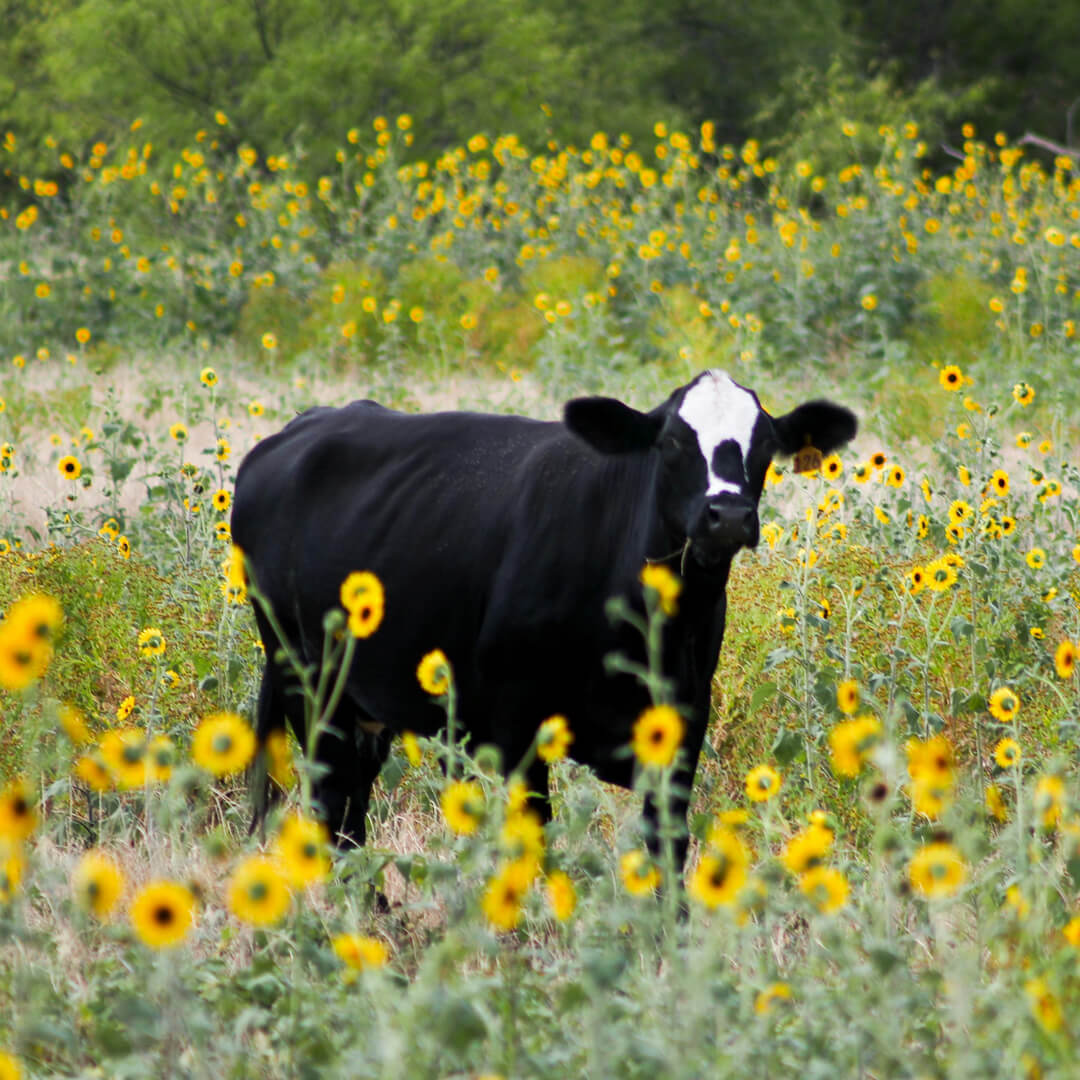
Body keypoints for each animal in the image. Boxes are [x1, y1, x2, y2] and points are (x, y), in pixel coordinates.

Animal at [232, 371, 855, 868]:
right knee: (332, 812)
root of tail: (300, 428)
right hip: (310, 686)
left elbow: (668, 850)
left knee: (350, 813)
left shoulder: (684, 719)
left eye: (765, 444)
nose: (727, 514)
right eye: (673, 441)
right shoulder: (517, 722)